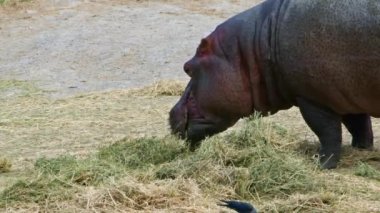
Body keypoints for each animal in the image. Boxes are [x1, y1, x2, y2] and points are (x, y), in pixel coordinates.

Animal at [170, 0, 380, 170]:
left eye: (187, 68)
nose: (171, 113)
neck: (256, 44)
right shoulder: (346, 97)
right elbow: (359, 126)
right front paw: (362, 149)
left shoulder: (313, 99)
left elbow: (328, 133)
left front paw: (321, 165)